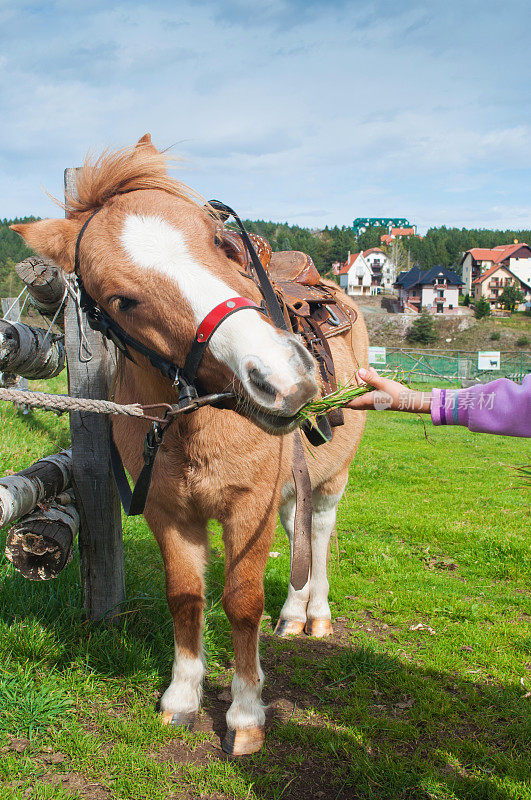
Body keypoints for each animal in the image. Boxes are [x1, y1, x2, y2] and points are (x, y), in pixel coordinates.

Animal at [13, 134, 370, 752]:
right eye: (122, 299)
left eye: (220, 243)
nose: (283, 378)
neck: (193, 420)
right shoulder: (167, 511)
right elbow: (186, 595)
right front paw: (182, 697)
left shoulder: (247, 508)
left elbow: (242, 603)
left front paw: (246, 714)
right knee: (297, 526)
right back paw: (294, 613)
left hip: (331, 477)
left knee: (320, 530)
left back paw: (316, 613)